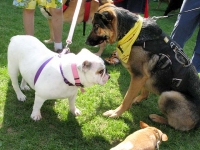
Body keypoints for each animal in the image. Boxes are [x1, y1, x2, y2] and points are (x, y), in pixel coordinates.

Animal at [86, 0, 200, 131]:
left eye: (96, 26)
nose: (86, 42)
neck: (133, 33)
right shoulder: (142, 77)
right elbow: (142, 92)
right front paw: (136, 99)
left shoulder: (138, 76)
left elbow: (126, 99)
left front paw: (116, 113)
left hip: (168, 95)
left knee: (173, 124)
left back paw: (158, 118)